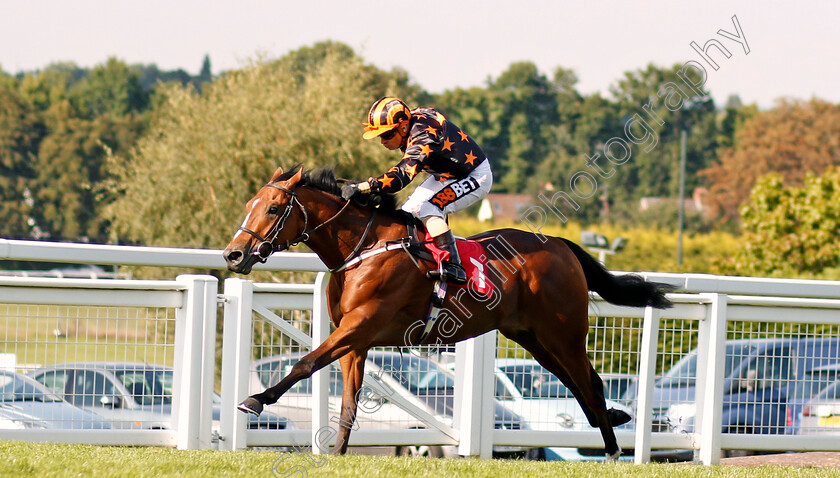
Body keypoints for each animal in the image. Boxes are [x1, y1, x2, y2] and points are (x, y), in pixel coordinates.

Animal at [225, 164, 676, 460]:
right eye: (249, 203)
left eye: (272, 209)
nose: (233, 255)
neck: (364, 247)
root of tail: (561, 245)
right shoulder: (356, 339)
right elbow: (349, 401)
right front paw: (336, 453)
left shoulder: (360, 324)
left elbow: (305, 363)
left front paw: (255, 400)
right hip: (534, 339)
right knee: (580, 384)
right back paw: (611, 425)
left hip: (563, 334)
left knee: (590, 384)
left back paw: (614, 451)